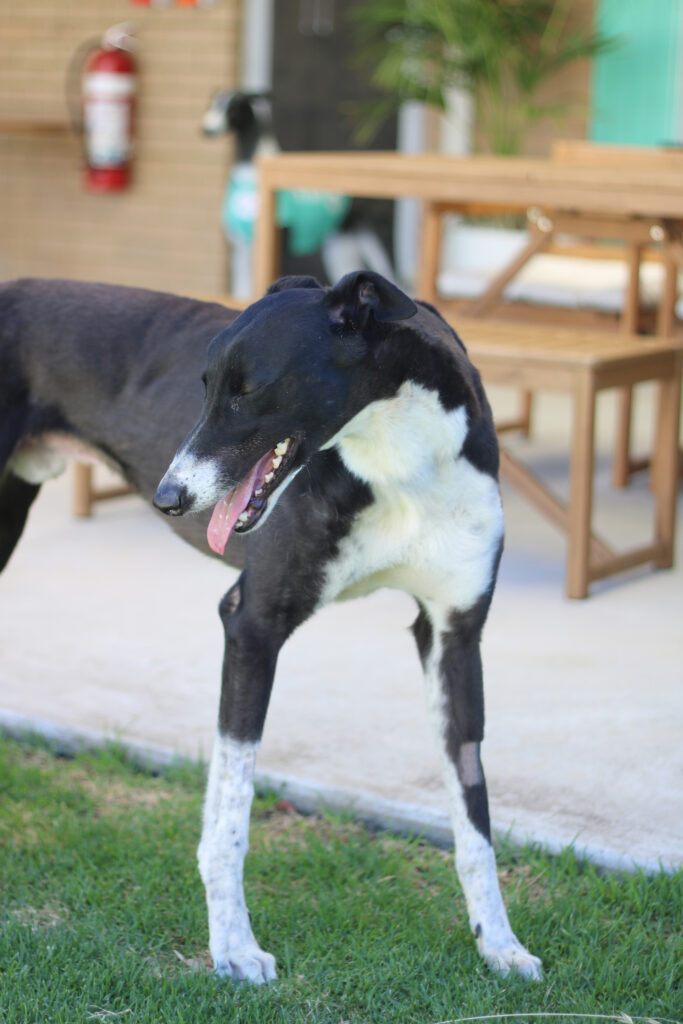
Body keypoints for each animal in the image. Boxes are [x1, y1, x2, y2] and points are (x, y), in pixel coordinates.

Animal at [1, 272, 541, 984]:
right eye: (203, 384)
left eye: (247, 388)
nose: (169, 499)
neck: (400, 461)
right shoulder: (251, 625)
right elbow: (232, 816)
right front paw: (232, 946)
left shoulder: (454, 636)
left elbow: (474, 817)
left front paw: (499, 943)